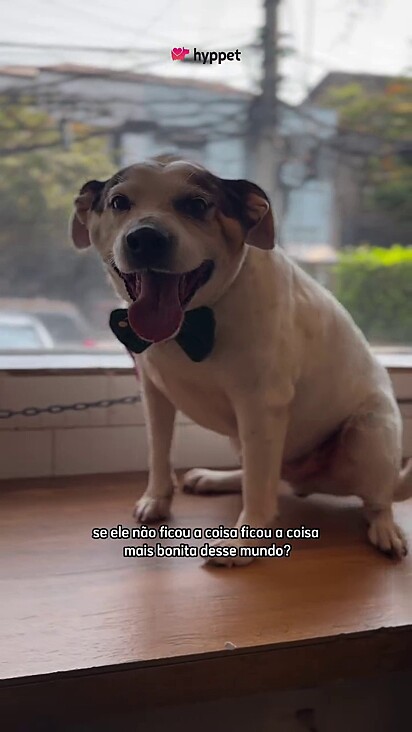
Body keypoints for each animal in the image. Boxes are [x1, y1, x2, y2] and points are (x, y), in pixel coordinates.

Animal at [71, 156, 412, 568]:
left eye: (197, 205)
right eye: (119, 202)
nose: (146, 238)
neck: (195, 321)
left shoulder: (260, 406)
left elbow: (258, 488)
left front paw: (244, 540)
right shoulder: (154, 394)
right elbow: (159, 452)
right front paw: (156, 499)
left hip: (368, 433)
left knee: (372, 499)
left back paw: (385, 528)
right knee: (261, 471)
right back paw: (217, 478)